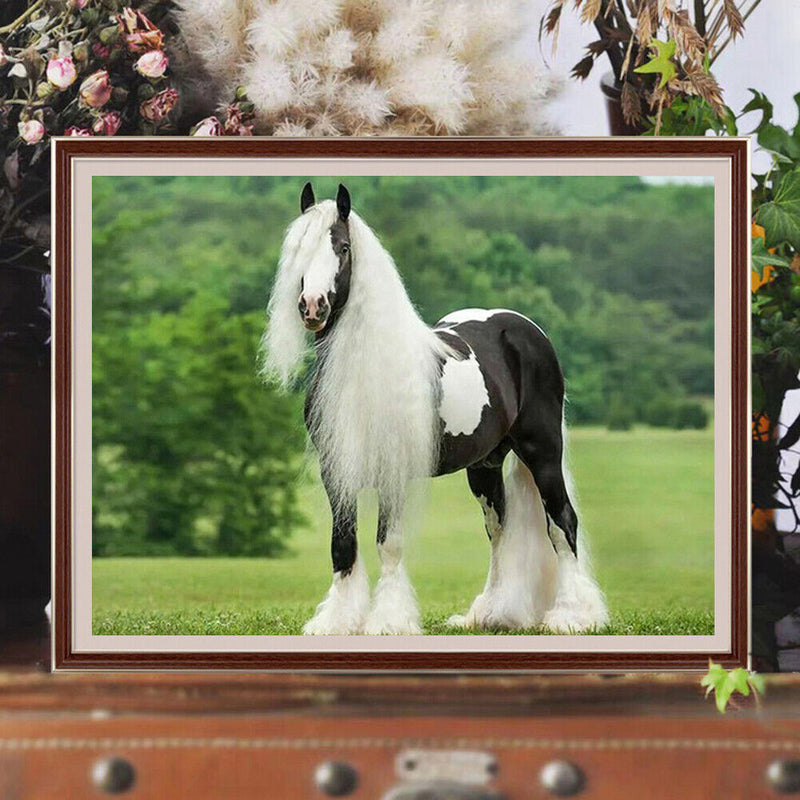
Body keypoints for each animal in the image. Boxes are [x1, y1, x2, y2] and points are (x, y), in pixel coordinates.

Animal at [262, 183, 609, 635]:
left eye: (341, 247)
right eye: (299, 248)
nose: (312, 306)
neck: (363, 367)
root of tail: (525, 329)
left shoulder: (392, 472)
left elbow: (388, 545)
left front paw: (388, 622)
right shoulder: (336, 470)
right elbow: (343, 545)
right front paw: (336, 622)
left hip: (543, 452)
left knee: (561, 522)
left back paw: (571, 616)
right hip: (485, 464)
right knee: (499, 529)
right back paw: (490, 613)